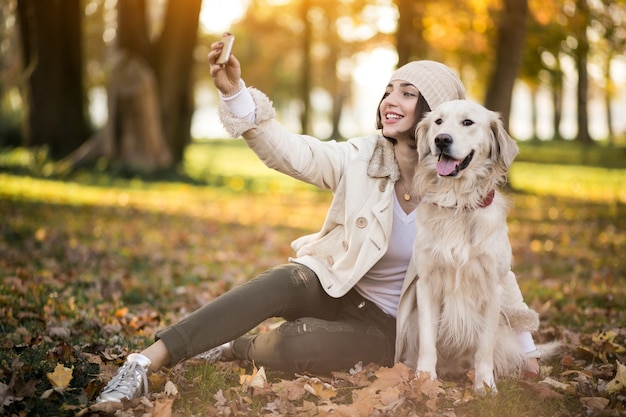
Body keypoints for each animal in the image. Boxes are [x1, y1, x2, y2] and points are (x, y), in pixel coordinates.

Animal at [412, 99, 540, 392]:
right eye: (438, 121)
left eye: (468, 122)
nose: (441, 139)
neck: (458, 202)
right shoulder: (427, 282)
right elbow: (426, 338)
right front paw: (424, 379)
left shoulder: (493, 286)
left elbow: (485, 345)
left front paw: (484, 386)